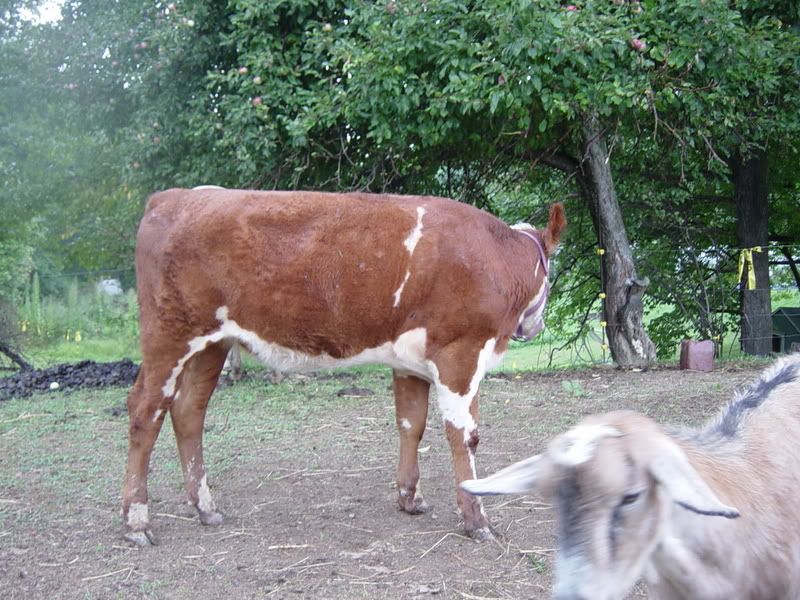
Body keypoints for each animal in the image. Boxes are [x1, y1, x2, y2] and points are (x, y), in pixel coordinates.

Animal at [122, 188, 565, 546]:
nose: (537, 325)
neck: (498, 257)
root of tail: (172, 197)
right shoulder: (461, 351)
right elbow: (464, 436)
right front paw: (477, 521)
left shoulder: (410, 361)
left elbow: (411, 423)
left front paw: (411, 499)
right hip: (169, 335)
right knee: (146, 411)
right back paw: (137, 523)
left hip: (211, 344)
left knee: (188, 411)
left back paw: (205, 508)